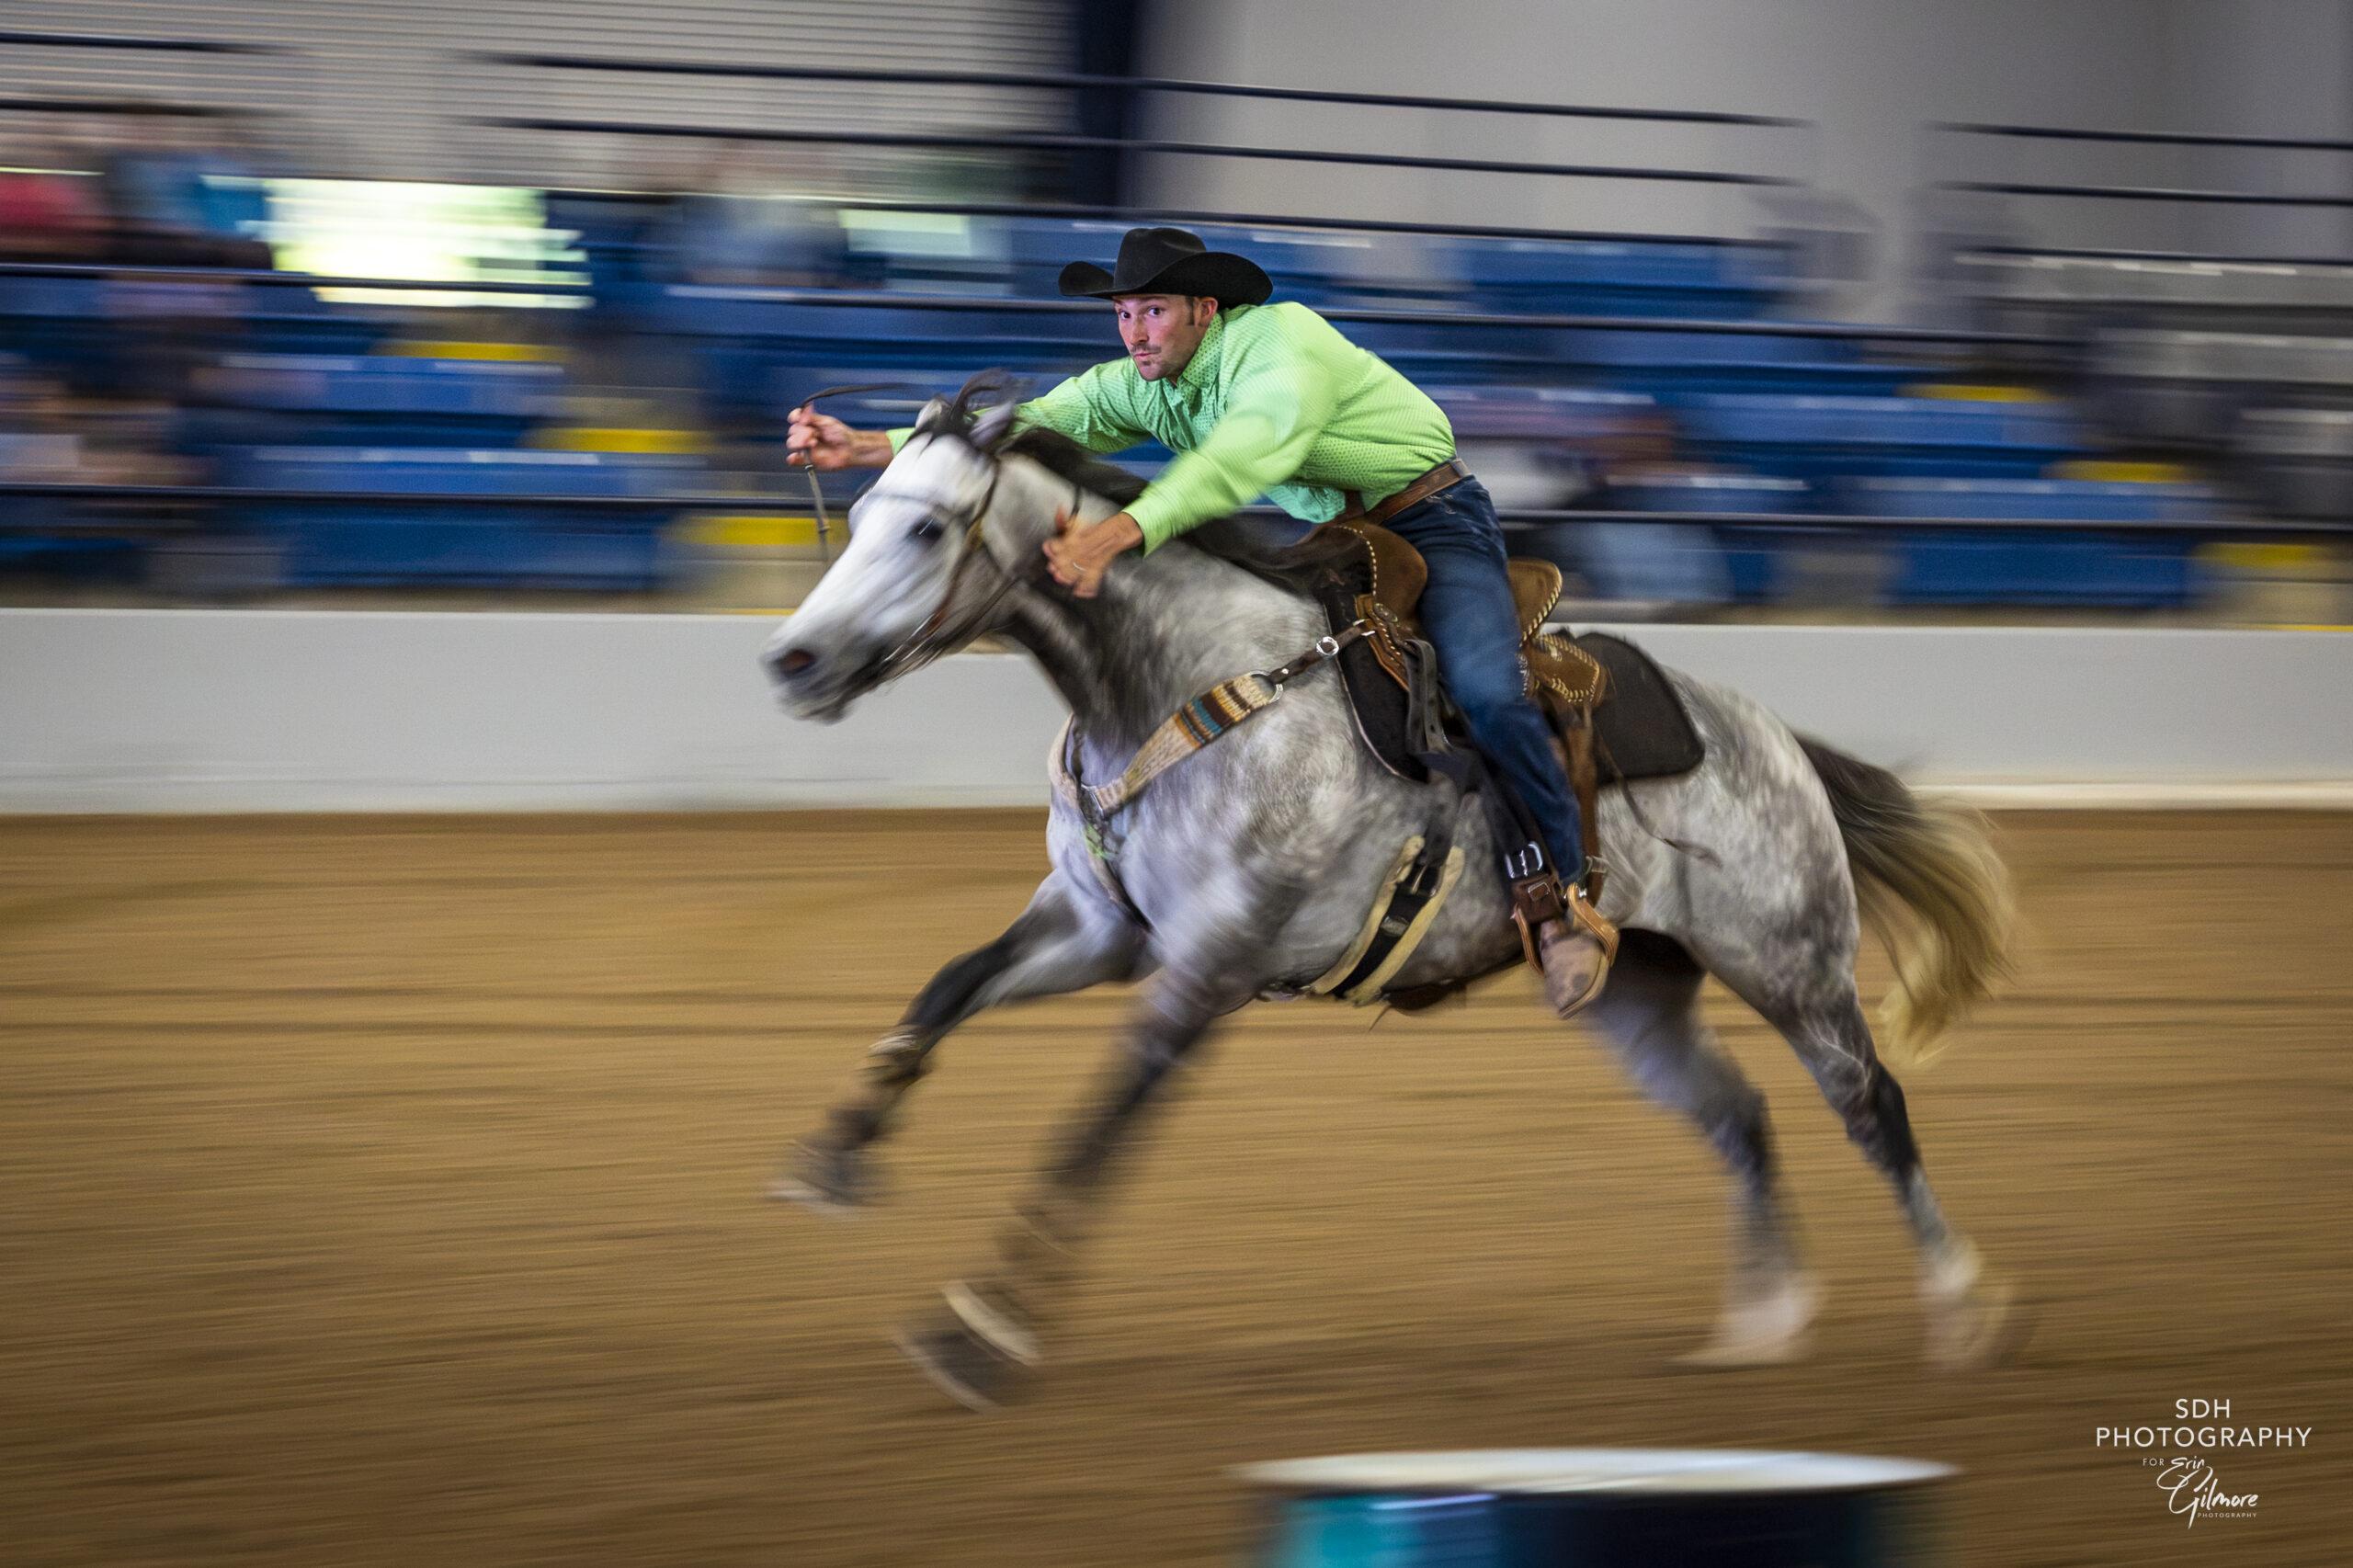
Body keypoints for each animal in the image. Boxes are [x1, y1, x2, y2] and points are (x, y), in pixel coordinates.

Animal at [761, 379, 2022, 1410]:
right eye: (859, 515)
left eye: (928, 526)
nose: (791, 662)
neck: (1188, 686)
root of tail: (1777, 740)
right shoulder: (1101, 927)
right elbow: (948, 982)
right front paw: (836, 1157)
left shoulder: (1206, 967)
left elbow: (1095, 1128)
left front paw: (977, 1331)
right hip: (1637, 994)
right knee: (1738, 1114)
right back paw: (1761, 1322)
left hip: (1792, 962)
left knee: (1870, 1105)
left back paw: (1961, 1308)